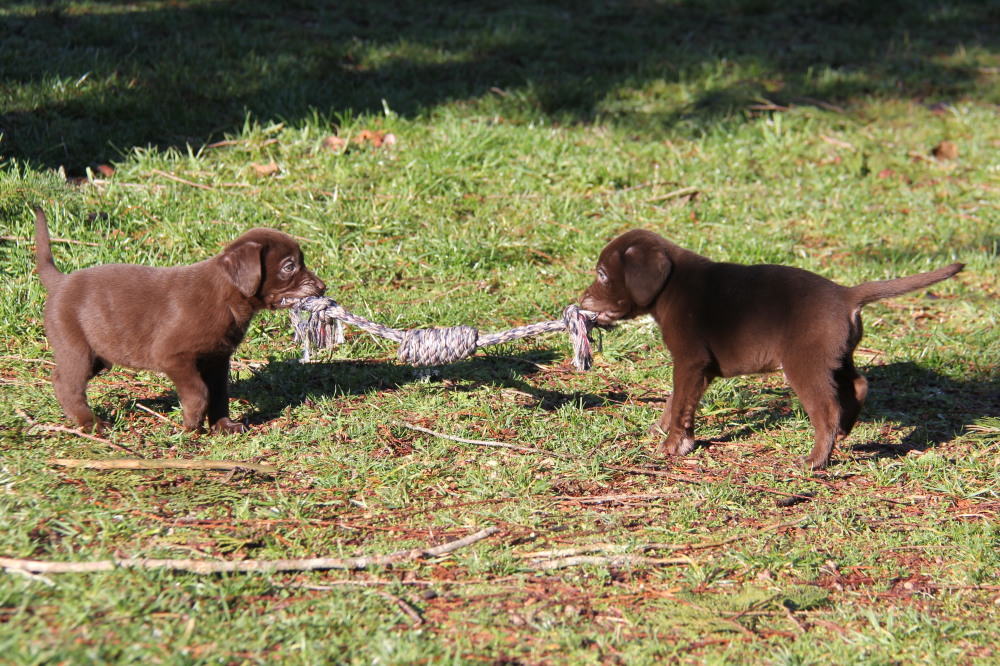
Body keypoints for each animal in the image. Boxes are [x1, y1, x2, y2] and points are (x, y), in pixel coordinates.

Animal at [33, 210, 324, 434]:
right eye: (289, 266)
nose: (322, 287)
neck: (226, 298)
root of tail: (60, 282)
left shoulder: (217, 360)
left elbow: (219, 394)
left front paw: (224, 426)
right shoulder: (171, 356)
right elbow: (200, 392)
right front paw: (192, 424)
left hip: (99, 355)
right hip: (76, 348)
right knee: (66, 384)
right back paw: (91, 423)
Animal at [584, 231, 964, 470]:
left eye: (602, 274)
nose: (581, 299)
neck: (670, 286)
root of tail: (846, 294)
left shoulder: (691, 361)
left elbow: (680, 405)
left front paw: (672, 444)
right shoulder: (698, 369)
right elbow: (677, 399)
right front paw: (663, 430)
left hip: (805, 364)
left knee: (827, 410)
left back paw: (816, 460)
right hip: (836, 357)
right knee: (858, 385)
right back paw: (844, 430)